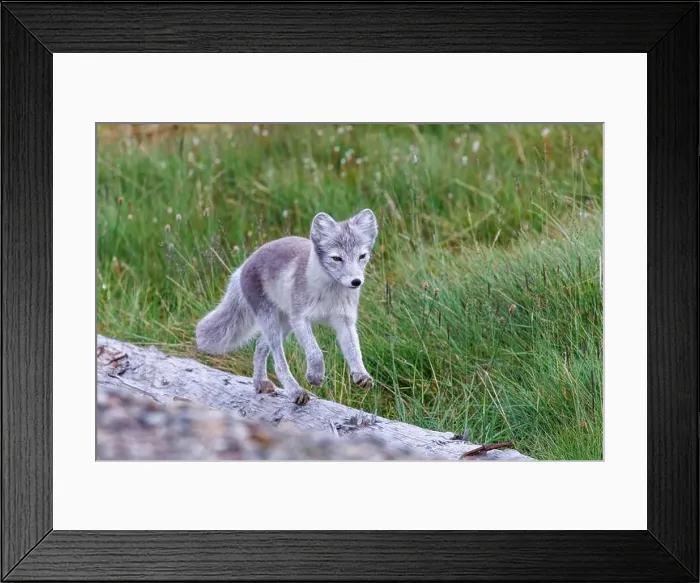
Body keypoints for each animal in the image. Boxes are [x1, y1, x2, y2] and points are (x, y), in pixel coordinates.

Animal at [195, 208, 379, 406]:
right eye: (337, 258)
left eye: (362, 256)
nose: (356, 282)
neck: (330, 293)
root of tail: (245, 264)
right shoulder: (300, 319)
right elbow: (315, 352)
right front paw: (315, 376)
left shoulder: (344, 320)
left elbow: (354, 351)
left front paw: (361, 375)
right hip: (272, 320)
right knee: (278, 361)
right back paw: (295, 391)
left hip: (285, 324)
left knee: (260, 345)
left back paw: (260, 383)